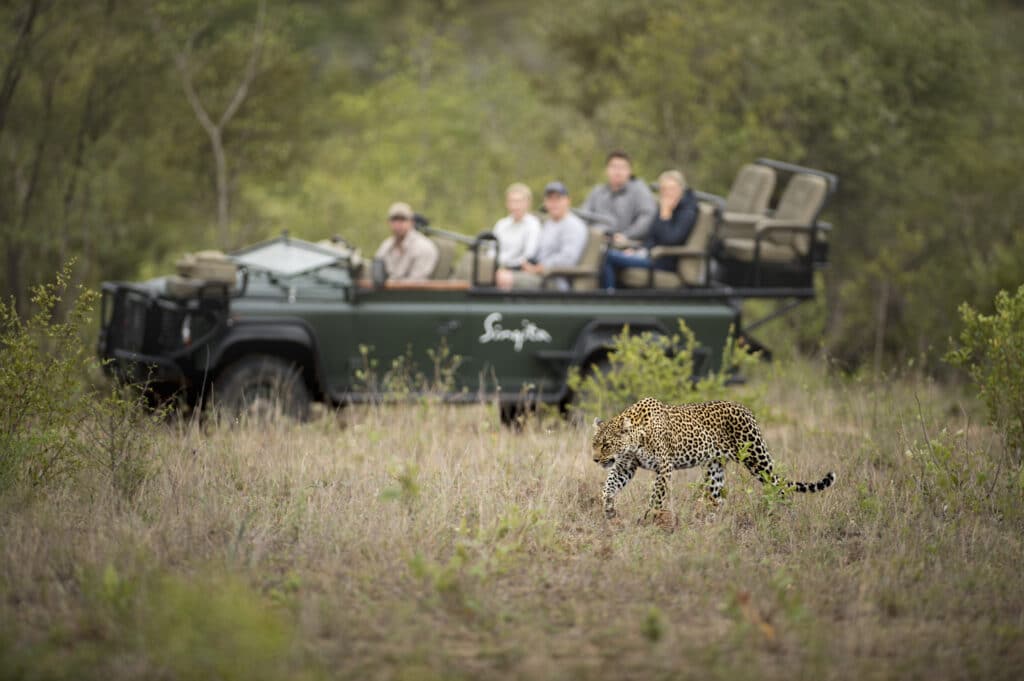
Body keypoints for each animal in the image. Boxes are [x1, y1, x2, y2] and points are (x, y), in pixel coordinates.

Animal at [589, 393, 835, 520]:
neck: (636, 438)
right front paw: (608, 507)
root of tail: (746, 409)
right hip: (713, 467)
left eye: (606, 445)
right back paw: (709, 524)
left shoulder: (664, 467)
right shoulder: (625, 466)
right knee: (718, 498)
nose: (595, 460)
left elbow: (656, 496)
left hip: (756, 459)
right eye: (594, 444)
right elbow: (609, 485)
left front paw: (651, 517)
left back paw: (785, 515)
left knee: (779, 486)